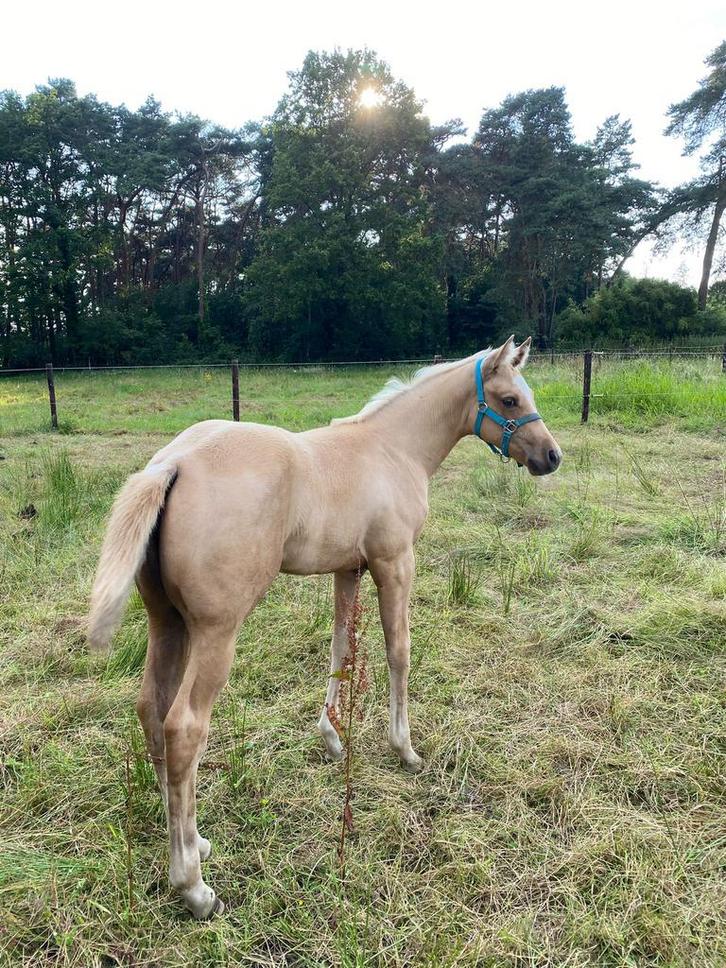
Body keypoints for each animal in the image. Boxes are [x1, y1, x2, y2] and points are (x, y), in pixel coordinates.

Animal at [88, 336, 562, 918]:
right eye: (509, 399)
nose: (551, 456)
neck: (393, 449)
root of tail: (172, 462)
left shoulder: (347, 569)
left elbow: (340, 650)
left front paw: (332, 738)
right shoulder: (394, 563)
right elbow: (398, 650)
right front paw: (404, 749)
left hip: (168, 623)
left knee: (151, 710)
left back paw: (193, 839)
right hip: (216, 631)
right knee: (184, 728)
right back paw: (194, 886)